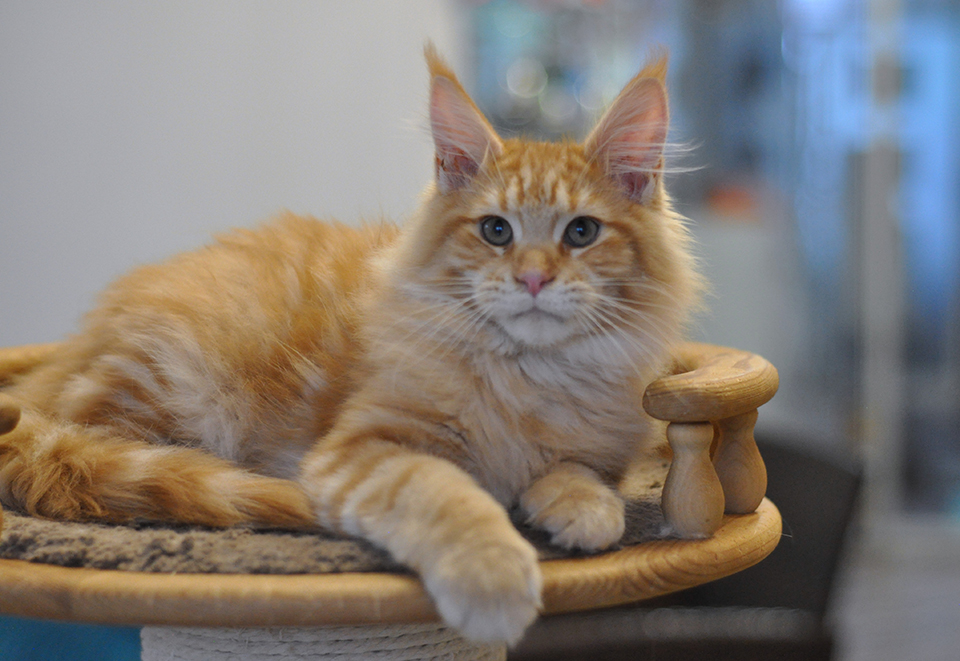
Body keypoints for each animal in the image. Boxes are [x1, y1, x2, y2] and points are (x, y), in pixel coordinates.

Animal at [0, 47, 696, 644]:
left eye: (581, 232)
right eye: (496, 231)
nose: (532, 279)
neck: (530, 376)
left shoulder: (601, 449)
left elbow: (576, 472)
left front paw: (585, 510)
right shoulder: (365, 447)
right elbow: (447, 494)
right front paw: (493, 580)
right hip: (169, 386)